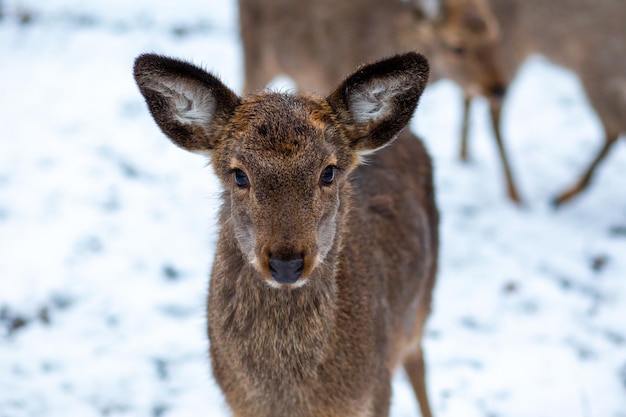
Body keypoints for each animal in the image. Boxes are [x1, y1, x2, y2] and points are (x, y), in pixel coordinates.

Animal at [134, 52, 438, 416]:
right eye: (239, 174)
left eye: (328, 172)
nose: (286, 262)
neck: (291, 401)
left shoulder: (377, 393)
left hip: (421, 305)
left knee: (418, 359)